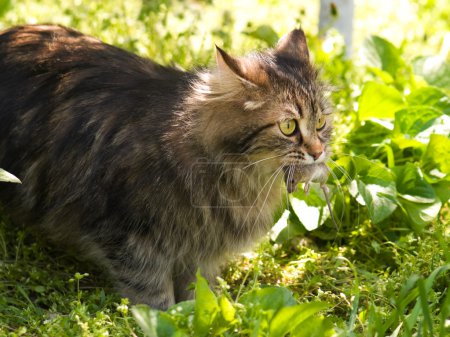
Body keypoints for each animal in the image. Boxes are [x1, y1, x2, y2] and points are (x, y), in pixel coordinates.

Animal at [0, 23, 330, 308]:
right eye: (288, 127)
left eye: (321, 122)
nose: (318, 152)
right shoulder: (132, 237)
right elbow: (152, 295)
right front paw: (162, 317)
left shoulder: (201, 247)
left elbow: (198, 291)